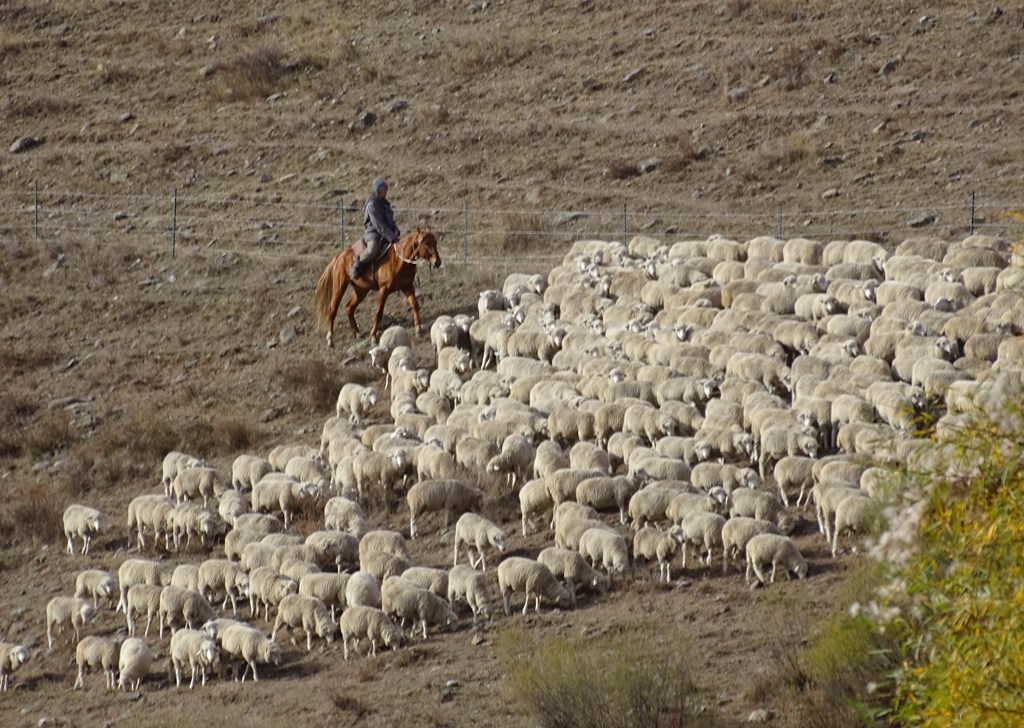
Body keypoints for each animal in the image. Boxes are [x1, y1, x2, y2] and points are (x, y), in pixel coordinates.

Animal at [311, 229, 440, 346]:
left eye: (435, 242)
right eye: (426, 243)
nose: (437, 262)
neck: (399, 260)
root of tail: (339, 256)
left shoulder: (407, 287)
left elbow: (415, 304)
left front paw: (418, 329)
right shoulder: (384, 290)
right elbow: (379, 313)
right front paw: (373, 336)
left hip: (361, 290)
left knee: (349, 308)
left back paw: (357, 333)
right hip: (339, 287)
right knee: (332, 309)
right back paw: (330, 339)